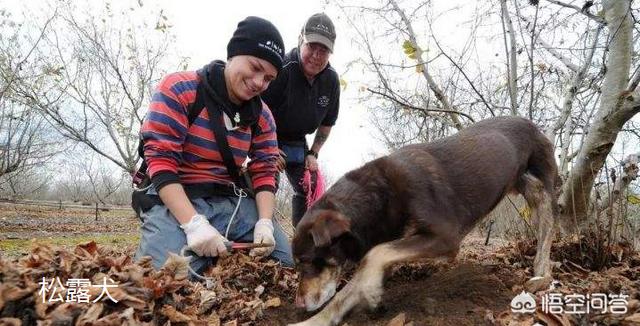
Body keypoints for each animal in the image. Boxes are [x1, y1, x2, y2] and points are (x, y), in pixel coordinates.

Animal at [288, 117, 556, 326]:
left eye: (306, 262)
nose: (298, 304)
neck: (380, 195)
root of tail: (535, 126)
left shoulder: (445, 238)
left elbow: (373, 255)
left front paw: (371, 294)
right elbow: (349, 289)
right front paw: (313, 321)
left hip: (542, 188)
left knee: (548, 233)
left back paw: (542, 277)